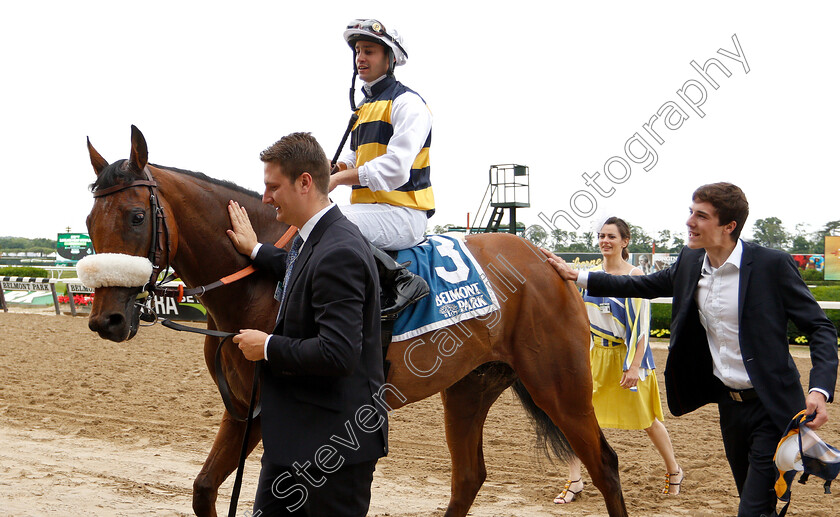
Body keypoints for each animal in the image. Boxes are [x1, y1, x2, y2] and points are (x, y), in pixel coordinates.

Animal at [83, 126, 624, 516]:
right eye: (89, 221)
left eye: (135, 216)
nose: (107, 319)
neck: (259, 281)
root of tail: (548, 261)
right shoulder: (239, 409)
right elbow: (202, 489)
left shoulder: (265, 411)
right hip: (470, 386)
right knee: (469, 477)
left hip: (559, 384)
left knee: (604, 464)